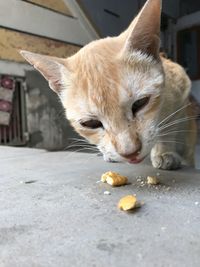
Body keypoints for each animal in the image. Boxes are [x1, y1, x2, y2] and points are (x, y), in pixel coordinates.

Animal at [20, 0, 197, 170]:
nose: (130, 153)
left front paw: (165, 152)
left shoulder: (180, 88)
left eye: (140, 103)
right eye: (90, 123)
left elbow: (168, 126)